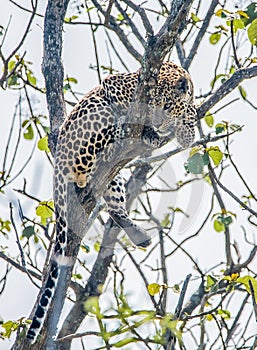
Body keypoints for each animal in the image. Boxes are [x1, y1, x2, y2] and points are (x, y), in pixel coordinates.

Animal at [26, 62, 196, 342]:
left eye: (167, 106)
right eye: (155, 105)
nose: (158, 124)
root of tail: (57, 167)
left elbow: (189, 117)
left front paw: (187, 128)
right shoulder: (113, 84)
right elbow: (125, 106)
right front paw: (149, 129)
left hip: (113, 180)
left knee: (115, 208)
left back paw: (139, 235)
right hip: (94, 116)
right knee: (86, 165)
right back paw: (113, 137)